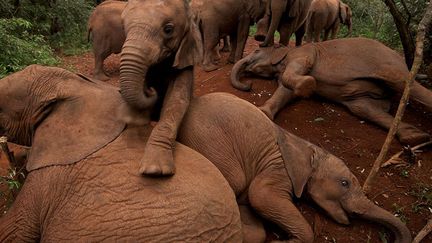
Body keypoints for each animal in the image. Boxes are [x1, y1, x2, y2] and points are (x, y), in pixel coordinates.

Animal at [119, 0, 203, 176]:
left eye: (168, 29)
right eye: (123, 27)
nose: (151, 89)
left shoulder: (185, 56)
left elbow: (177, 99)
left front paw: (154, 170)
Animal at [178, 91, 412, 243]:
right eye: (344, 183)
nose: (393, 238)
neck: (312, 151)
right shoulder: (279, 169)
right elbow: (261, 195)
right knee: (235, 181)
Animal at [231, 37, 432, 145]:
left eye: (256, 51)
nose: (249, 85)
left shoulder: (303, 53)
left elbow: (298, 72)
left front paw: (309, 85)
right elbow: (285, 91)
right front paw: (262, 112)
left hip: (388, 64)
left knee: (406, 84)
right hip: (364, 97)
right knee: (363, 108)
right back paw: (416, 138)